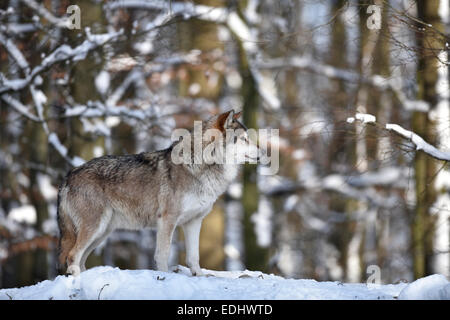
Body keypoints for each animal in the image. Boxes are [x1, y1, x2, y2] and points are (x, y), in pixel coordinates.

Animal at [56, 109, 260, 276]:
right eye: (244, 139)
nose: (262, 153)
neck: (201, 165)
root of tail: (68, 176)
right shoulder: (167, 220)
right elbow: (163, 254)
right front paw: (165, 277)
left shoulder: (194, 222)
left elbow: (194, 257)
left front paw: (200, 277)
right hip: (95, 228)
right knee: (72, 255)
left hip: (102, 233)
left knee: (81, 259)